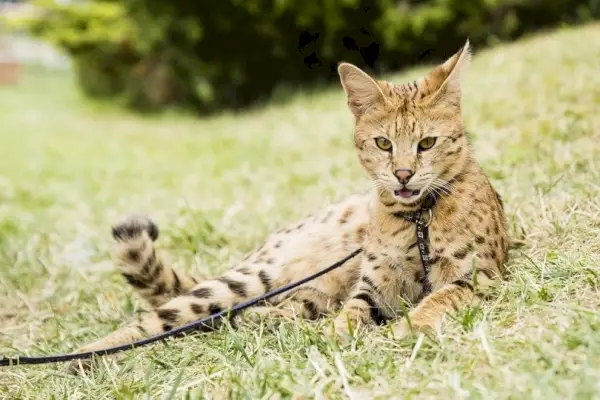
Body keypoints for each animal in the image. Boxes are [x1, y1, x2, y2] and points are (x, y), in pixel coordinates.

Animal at [74, 41, 506, 362]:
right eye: (383, 143)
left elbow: (440, 298)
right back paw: (81, 358)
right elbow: (353, 312)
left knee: (269, 310)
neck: (417, 218)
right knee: (154, 321)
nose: (402, 174)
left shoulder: (481, 275)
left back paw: (260, 320)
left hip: (306, 292)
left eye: (427, 143)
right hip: (250, 278)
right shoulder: (373, 287)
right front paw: (339, 336)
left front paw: (410, 327)